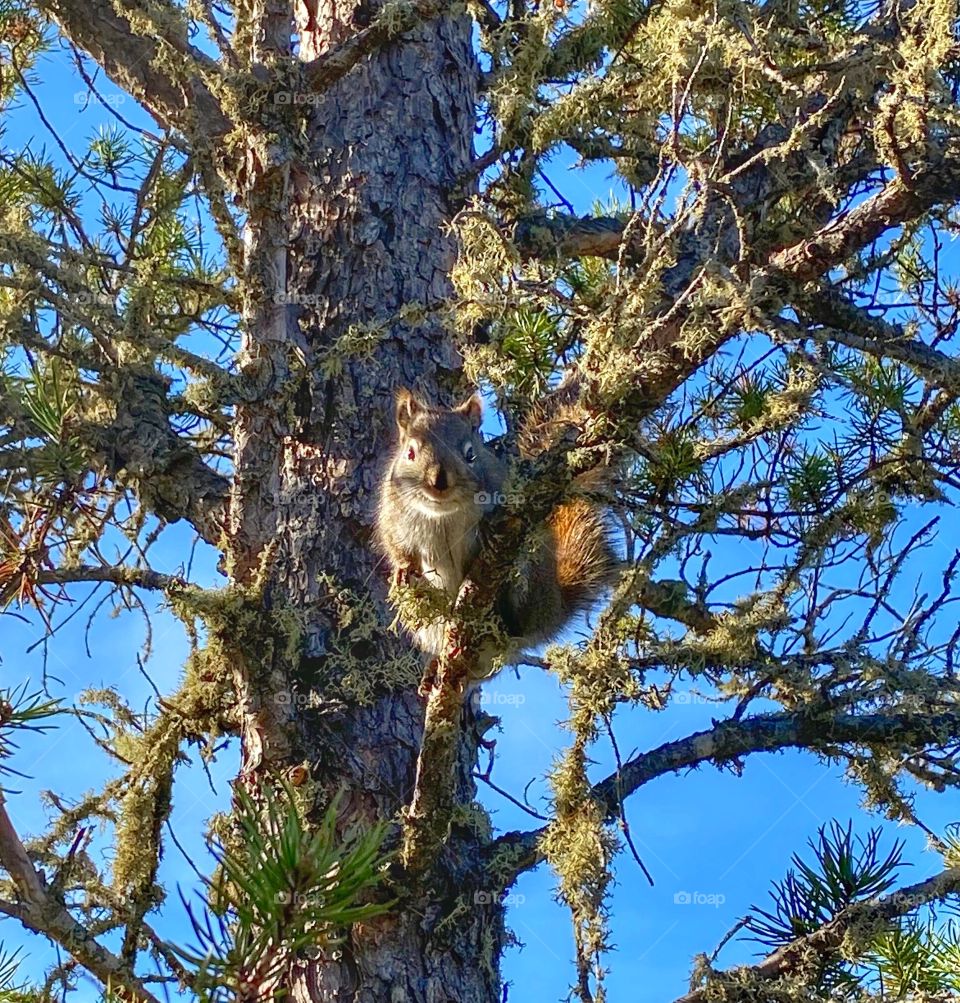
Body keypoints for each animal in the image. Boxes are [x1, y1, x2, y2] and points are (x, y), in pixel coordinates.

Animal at [375, 385, 613, 674]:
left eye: (471, 454)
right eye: (410, 453)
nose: (439, 482)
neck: (443, 514)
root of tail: (551, 609)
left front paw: (487, 528)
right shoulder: (392, 518)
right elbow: (395, 546)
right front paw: (402, 569)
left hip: (528, 580)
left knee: (515, 617)